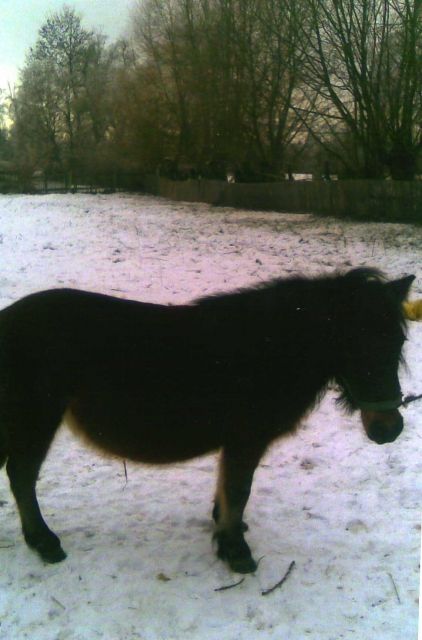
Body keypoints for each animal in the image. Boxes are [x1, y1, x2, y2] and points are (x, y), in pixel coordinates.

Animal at [0, 268, 415, 573]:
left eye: (398, 343)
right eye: (355, 346)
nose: (389, 428)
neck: (269, 349)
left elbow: (228, 490)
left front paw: (227, 531)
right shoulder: (246, 439)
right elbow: (238, 490)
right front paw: (236, 551)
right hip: (35, 421)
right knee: (22, 476)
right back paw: (45, 543)